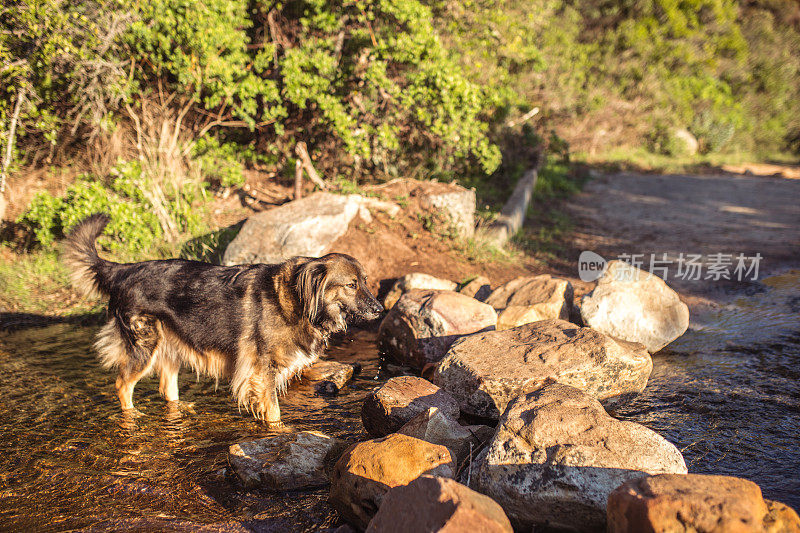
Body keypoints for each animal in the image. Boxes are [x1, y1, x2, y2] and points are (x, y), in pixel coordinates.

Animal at [62, 212, 382, 424]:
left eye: (366, 281)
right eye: (351, 285)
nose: (379, 308)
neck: (298, 300)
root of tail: (122, 270)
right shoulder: (260, 371)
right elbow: (274, 412)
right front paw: (278, 432)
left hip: (170, 346)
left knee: (167, 389)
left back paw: (180, 409)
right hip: (144, 346)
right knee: (122, 385)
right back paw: (133, 416)